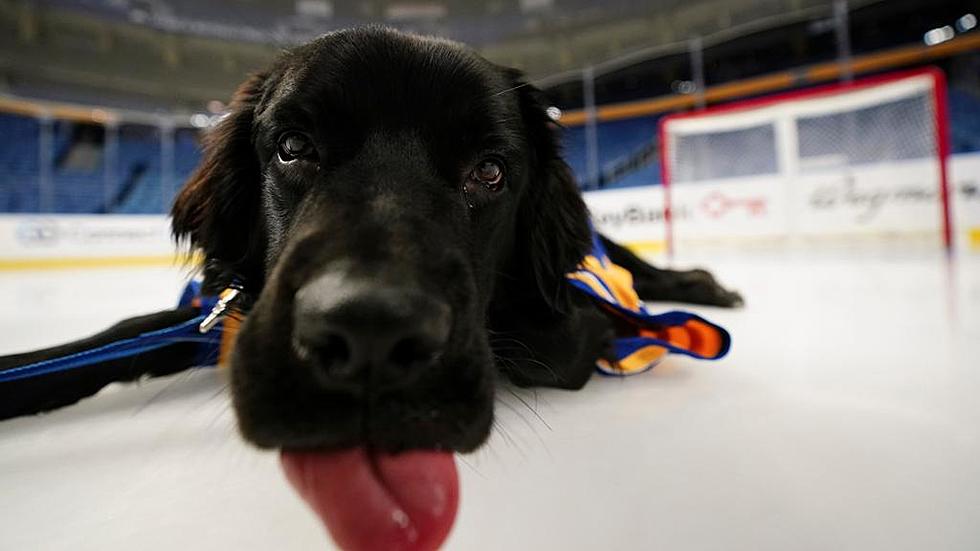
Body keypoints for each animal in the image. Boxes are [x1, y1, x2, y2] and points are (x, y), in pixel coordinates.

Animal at [168, 27, 740, 458]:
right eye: (293, 146)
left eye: (489, 171)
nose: (370, 332)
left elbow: (553, 343)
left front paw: (595, 326)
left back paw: (707, 286)